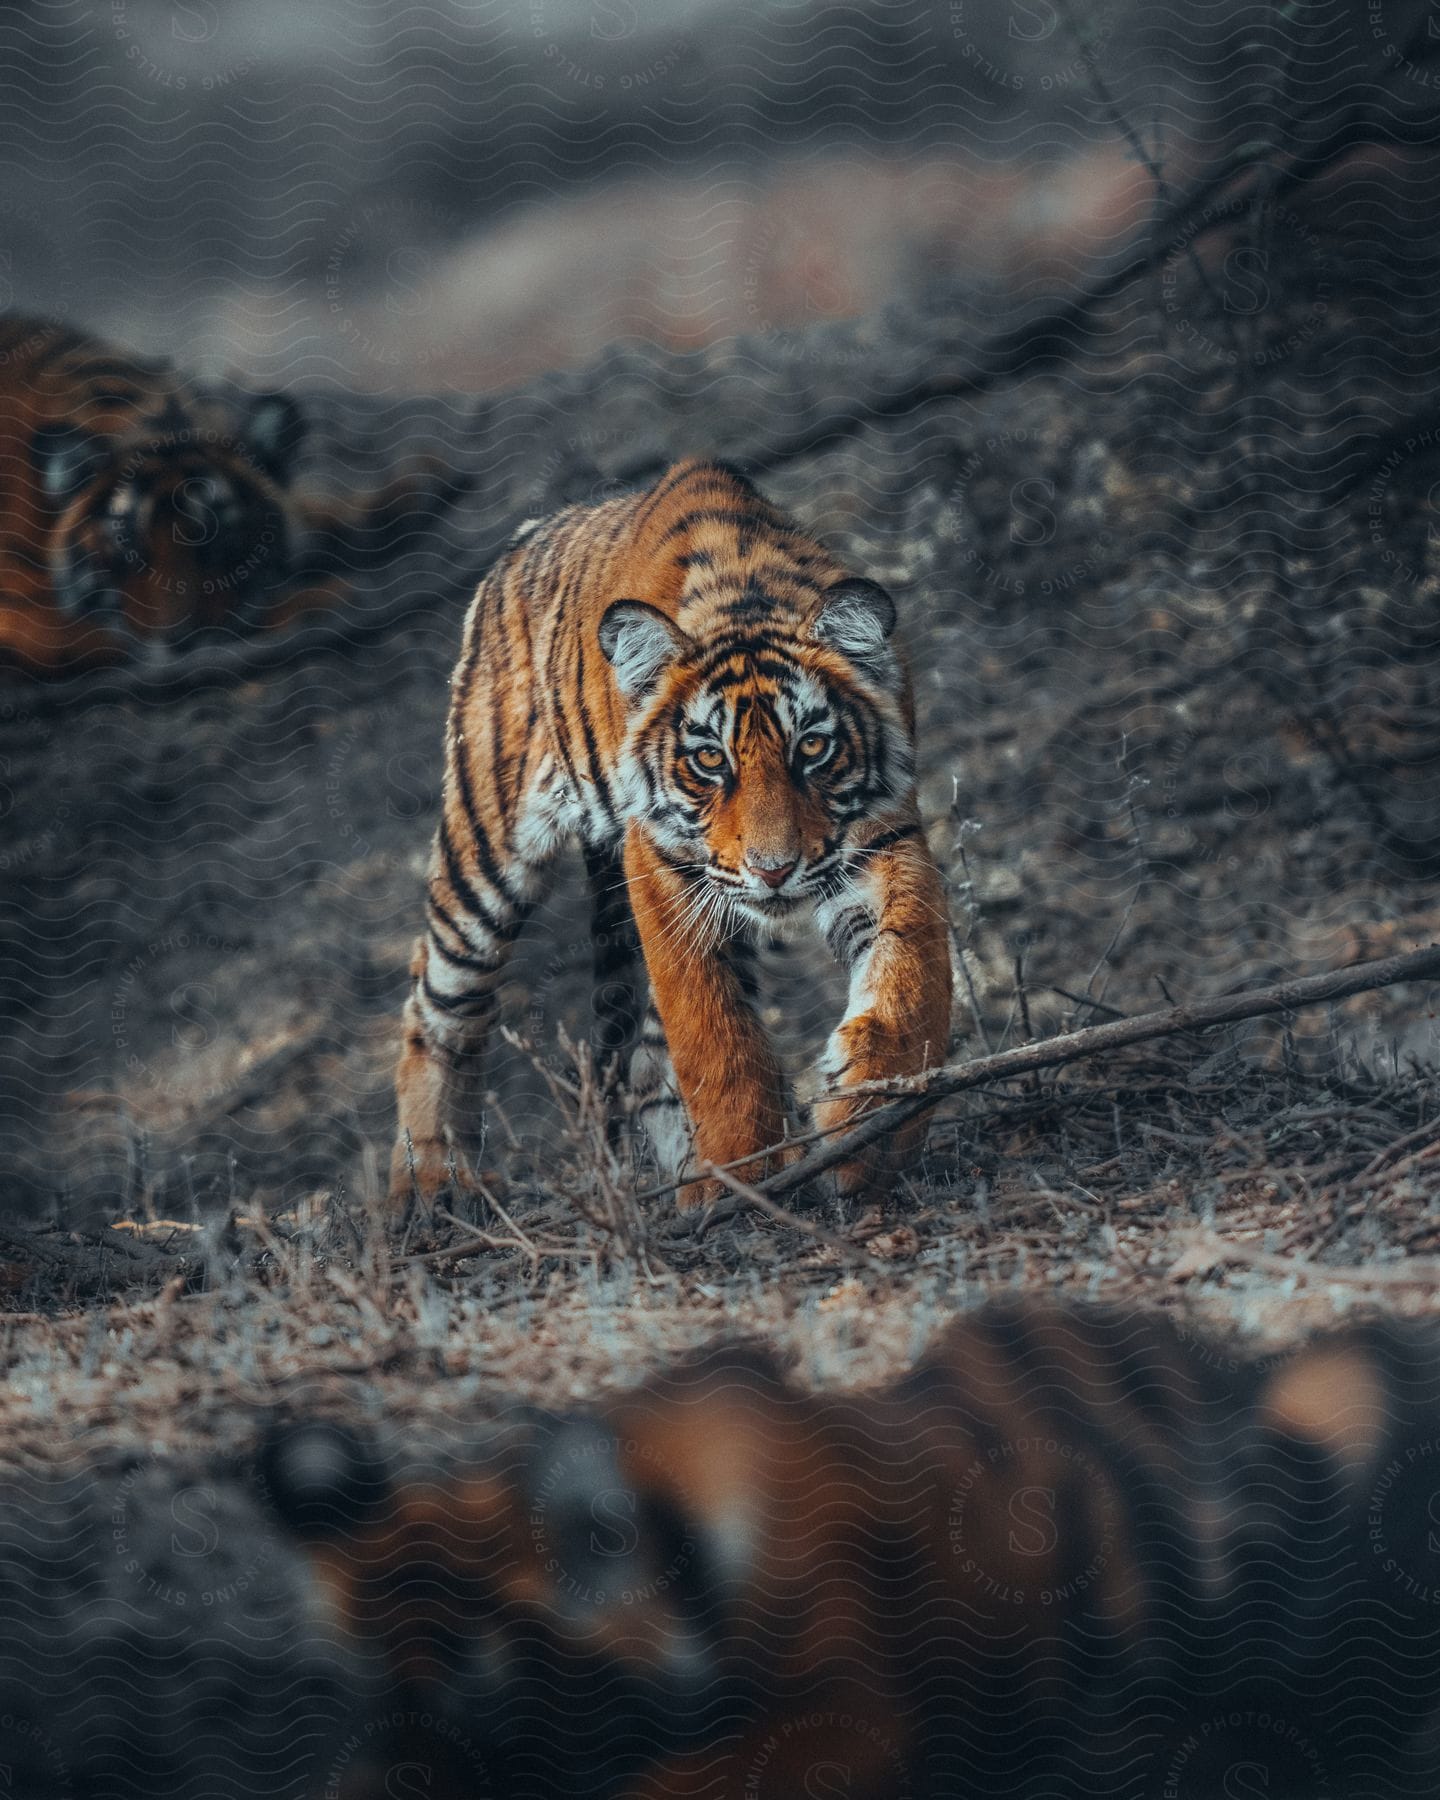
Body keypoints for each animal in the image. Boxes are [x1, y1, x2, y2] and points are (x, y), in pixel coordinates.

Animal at [390, 457, 957, 1209]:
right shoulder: (660, 862)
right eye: (709, 759)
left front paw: (868, 1130)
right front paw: (745, 1178)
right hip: (483, 851)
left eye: (812, 747)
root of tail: (519, 544)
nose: (773, 871)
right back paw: (427, 1183)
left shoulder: (880, 834)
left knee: (643, 1062)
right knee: (434, 1001)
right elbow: (714, 1036)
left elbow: (910, 972)